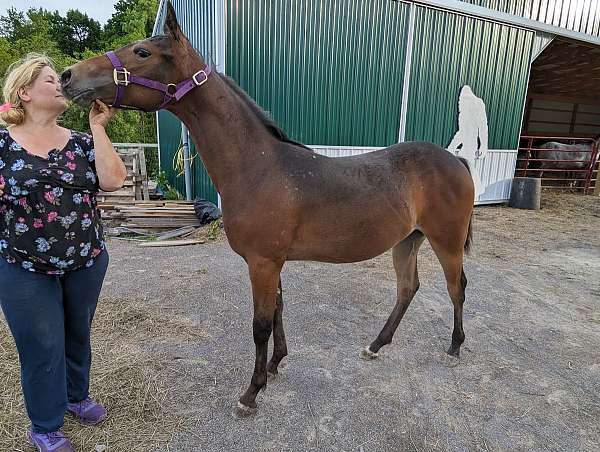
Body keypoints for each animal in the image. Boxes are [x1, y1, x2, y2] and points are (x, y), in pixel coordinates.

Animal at [61, 1, 474, 416]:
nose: (68, 75)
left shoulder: (262, 263)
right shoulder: (272, 263)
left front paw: (251, 394)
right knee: (408, 288)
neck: (259, 168)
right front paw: (276, 365)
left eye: (143, 52)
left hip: (446, 241)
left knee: (457, 287)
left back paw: (455, 347)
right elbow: (277, 311)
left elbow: (260, 324)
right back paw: (375, 345)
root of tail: (455, 161)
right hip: (408, 239)